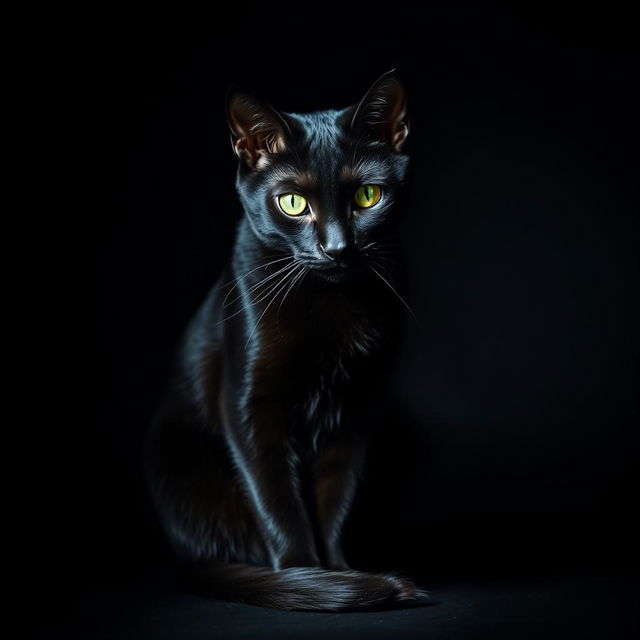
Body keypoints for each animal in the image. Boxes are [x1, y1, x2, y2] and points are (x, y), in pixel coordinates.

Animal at [145, 70, 424, 608]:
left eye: (368, 196)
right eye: (293, 203)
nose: (337, 248)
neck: (332, 304)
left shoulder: (355, 411)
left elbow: (334, 496)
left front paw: (336, 570)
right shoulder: (250, 404)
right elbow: (276, 497)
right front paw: (304, 575)